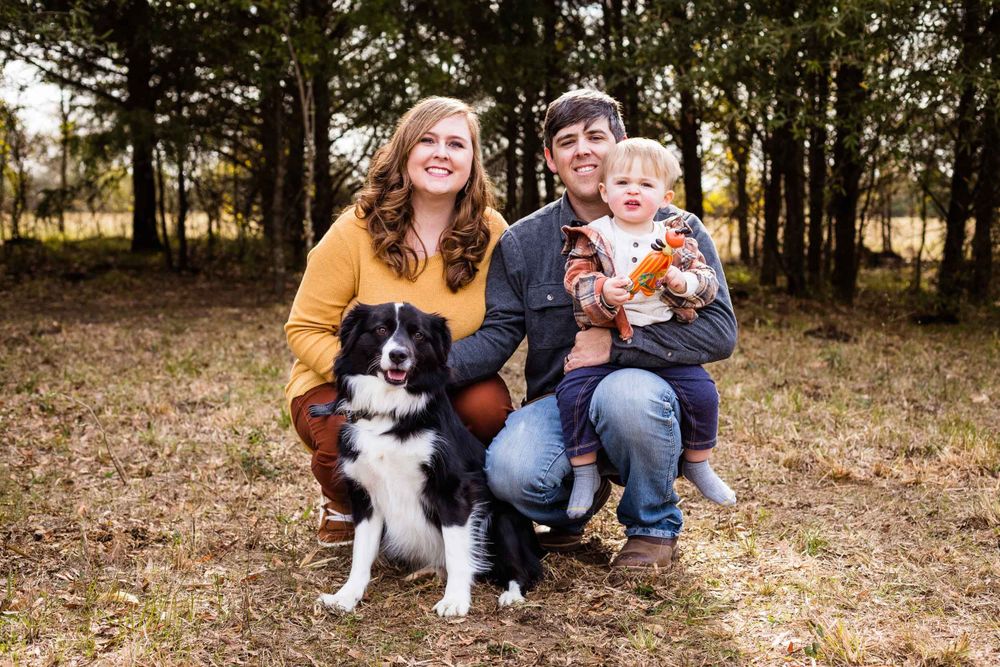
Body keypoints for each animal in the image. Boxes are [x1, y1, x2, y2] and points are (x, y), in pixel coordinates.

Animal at [310, 302, 543, 617]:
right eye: (380, 329)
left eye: (418, 335)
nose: (398, 355)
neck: (391, 411)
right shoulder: (365, 493)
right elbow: (361, 552)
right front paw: (346, 596)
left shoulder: (453, 489)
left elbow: (457, 551)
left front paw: (455, 600)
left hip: (503, 519)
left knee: (522, 569)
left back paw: (511, 595)